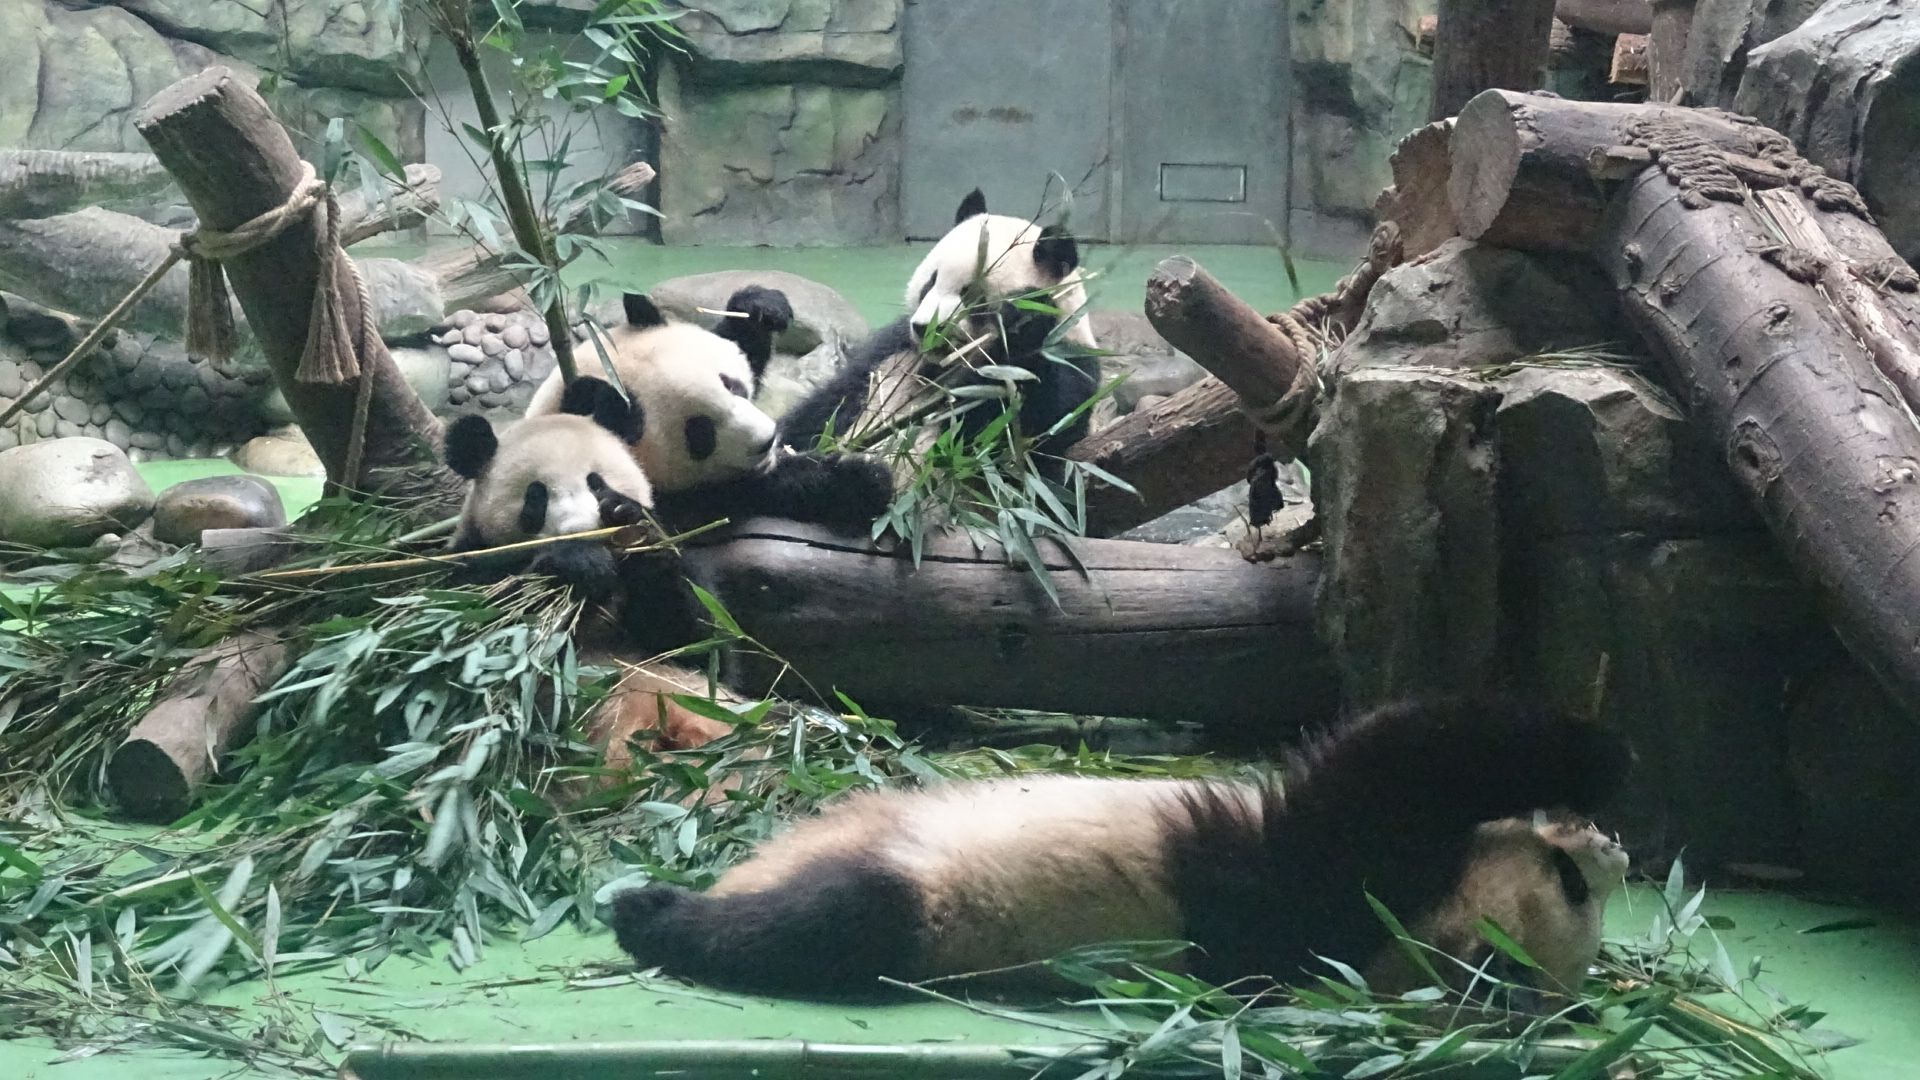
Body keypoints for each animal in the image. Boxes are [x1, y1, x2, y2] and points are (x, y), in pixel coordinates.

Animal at [524, 286, 894, 535]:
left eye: (732, 386)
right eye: (700, 433)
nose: (767, 440)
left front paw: (761, 307)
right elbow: (736, 498)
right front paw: (858, 480)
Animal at [609, 698, 1632, 1001]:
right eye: (1574, 882)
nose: (1609, 853)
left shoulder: (1321, 891)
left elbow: (1403, 759)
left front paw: (1590, 754)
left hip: (924, 906)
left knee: (812, 926)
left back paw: (650, 912)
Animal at [779, 188, 1102, 475]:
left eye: (973, 296)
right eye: (930, 282)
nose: (925, 329)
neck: (944, 363)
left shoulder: (1066, 362)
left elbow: (1027, 428)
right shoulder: (891, 350)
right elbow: (827, 409)